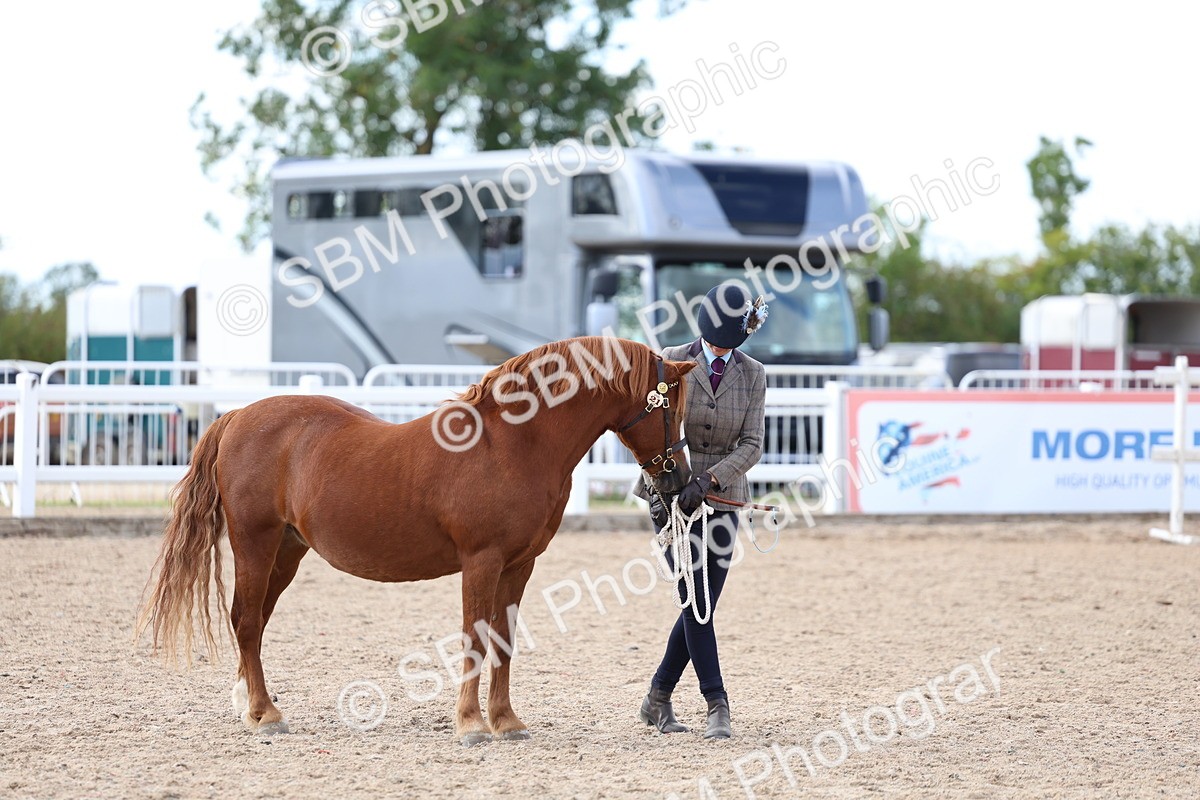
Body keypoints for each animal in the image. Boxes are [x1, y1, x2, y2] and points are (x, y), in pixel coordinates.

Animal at [137, 336, 697, 745]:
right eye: (670, 409)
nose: (678, 481)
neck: (514, 443)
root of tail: (236, 417)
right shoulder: (482, 561)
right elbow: (475, 638)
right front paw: (471, 725)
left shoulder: (519, 565)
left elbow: (504, 639)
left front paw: (506, 722)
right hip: (255, 542)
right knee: (247, 620)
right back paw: (265, 713)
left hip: (288, 551)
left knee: (251, 620)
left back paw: (249, 708)